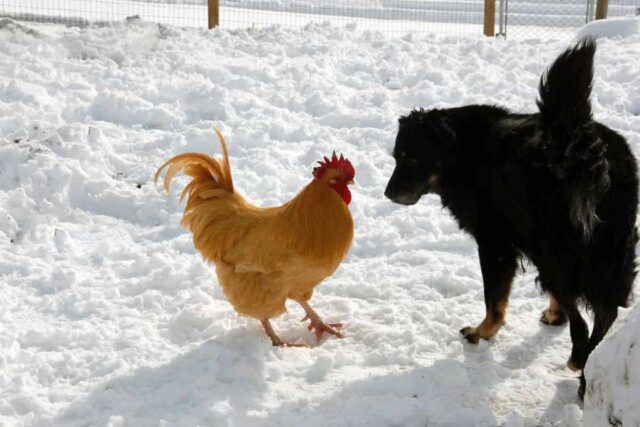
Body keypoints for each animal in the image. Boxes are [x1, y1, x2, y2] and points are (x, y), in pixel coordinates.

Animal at [382, 40, 636, 398]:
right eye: (396, 157)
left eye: (413, 159)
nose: (388, 193)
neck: (466, 151)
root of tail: (587, 149)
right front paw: (553, 314)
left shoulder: (495, 245)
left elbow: (494, 300)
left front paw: (482, 333)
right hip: (609, 251)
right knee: (605, 314)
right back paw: (588, 371)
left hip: (556, 255)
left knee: (584, 322)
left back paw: (578, 363)